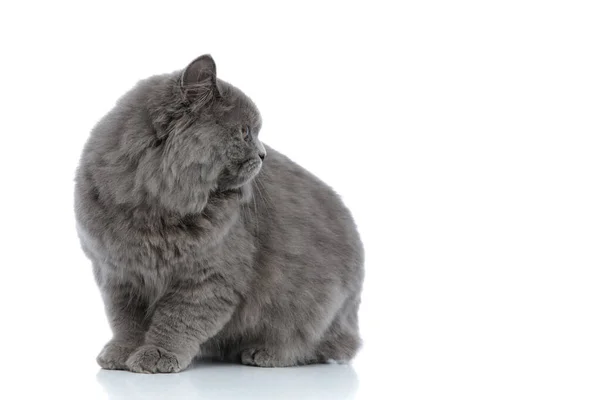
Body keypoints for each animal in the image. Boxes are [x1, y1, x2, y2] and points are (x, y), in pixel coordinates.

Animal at [72, 54, 364, 374]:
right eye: (245, 131)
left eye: (254, 132)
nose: (263, 154)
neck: (154, 208)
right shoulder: (118, 274)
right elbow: (126, 322)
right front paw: (121, 354)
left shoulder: (209, 279)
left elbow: (177, 320)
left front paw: (159, 354)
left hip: (313, 308)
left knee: (312, 344)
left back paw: (264, 353)